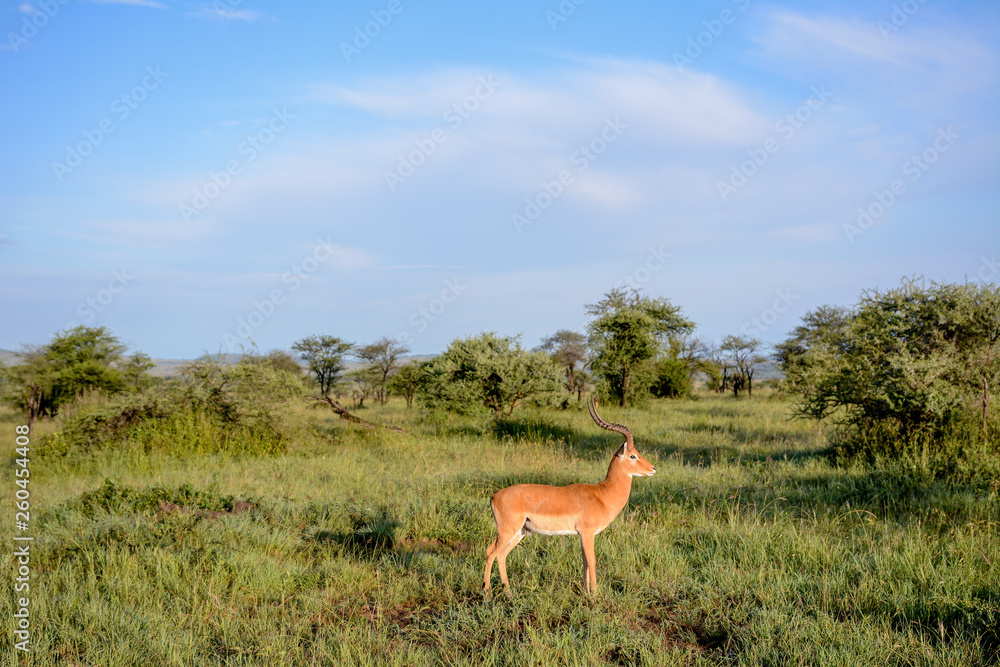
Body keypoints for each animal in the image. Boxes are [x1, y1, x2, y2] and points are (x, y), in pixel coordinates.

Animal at [483, 398, 656, 599]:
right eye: (633, 455)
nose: (653, 468)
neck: (602, 495)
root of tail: (494, 496)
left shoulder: (582, 535)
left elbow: (585, 562)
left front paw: (586, 592)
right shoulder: (588, 533)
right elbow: (593, 560)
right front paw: (596, 595)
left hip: (520, 532)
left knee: (500, 555)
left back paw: (509, 593)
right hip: (507, 531)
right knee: (491, 553)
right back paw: (486, 594)